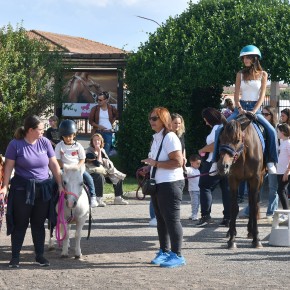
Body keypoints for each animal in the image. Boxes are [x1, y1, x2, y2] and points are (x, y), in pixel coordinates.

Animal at [218, 116, 266, 249]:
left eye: (237, 140)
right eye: (221, 138)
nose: (223, 166)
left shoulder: (256, 179)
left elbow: (254, 207)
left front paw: (257, 239)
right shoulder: (233, 179)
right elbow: (234, 207)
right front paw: (232, 239)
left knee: (253, 202)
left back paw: (251, 231)